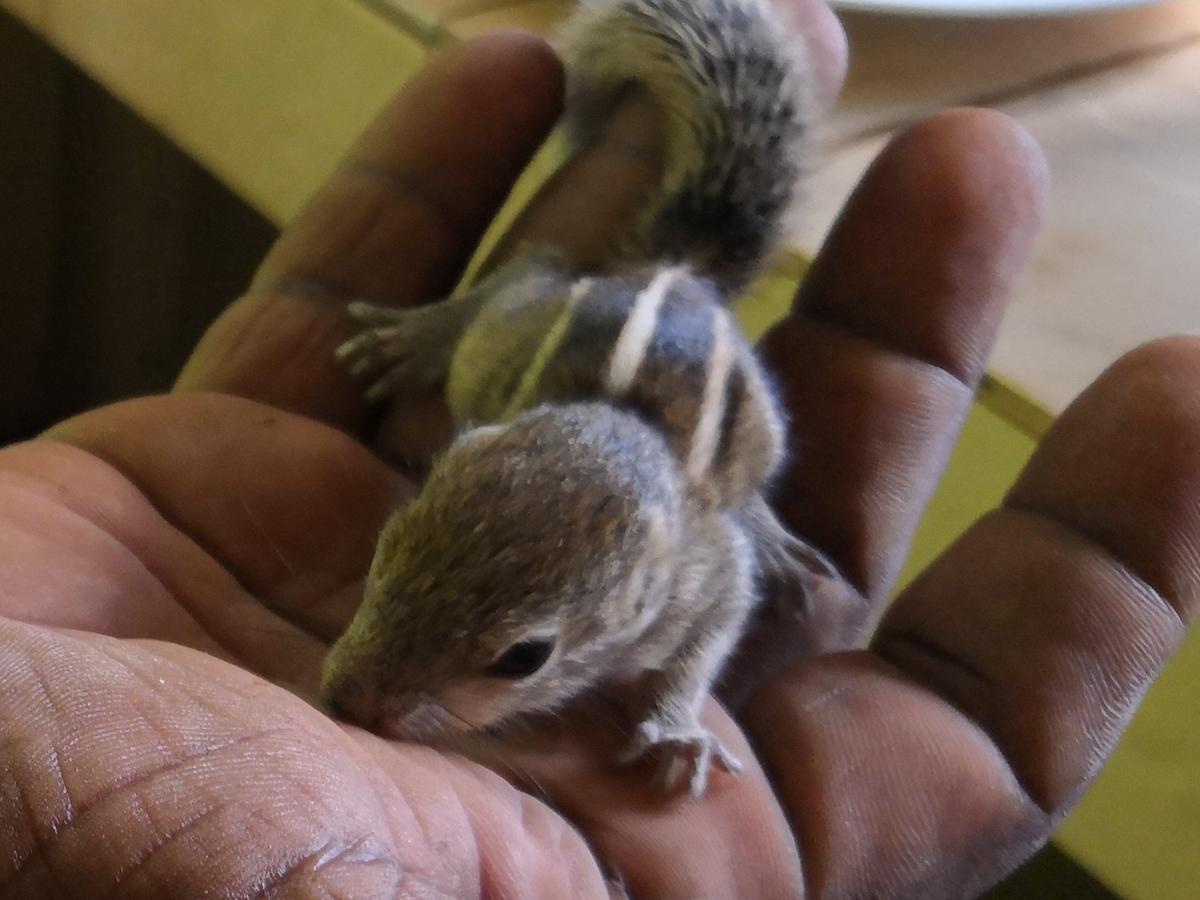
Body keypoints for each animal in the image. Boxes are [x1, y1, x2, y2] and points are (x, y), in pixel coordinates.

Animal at [316, 0, 835, 796]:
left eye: (525, 657)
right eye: (386, 548)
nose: (346, 698)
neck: (620, 426)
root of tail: (676, 271)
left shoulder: (708, 580)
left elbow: (708, 642)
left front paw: (677, 729)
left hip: (764, 429)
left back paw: (773, 536)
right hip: (498, 345)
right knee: (527, 272)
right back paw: (420, 338)